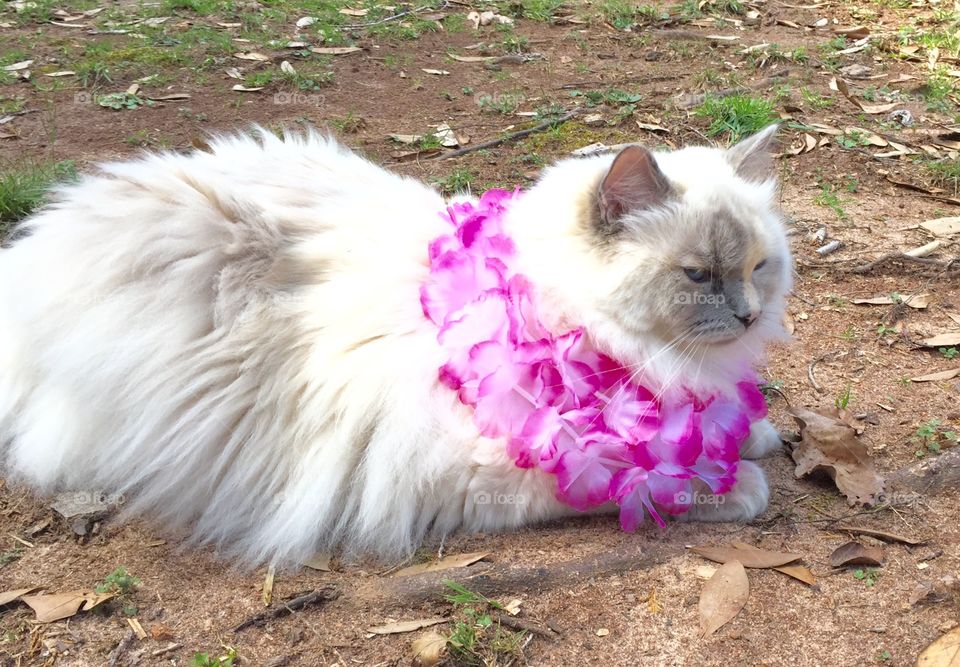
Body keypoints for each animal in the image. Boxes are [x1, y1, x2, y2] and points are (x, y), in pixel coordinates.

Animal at [0, 124, 792, 564]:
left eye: (759, 266)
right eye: (698, 275)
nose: (750, 316)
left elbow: (727, 426)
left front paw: (748, 434)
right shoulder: (495, 470)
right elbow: (656, 479)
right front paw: (738, 478)